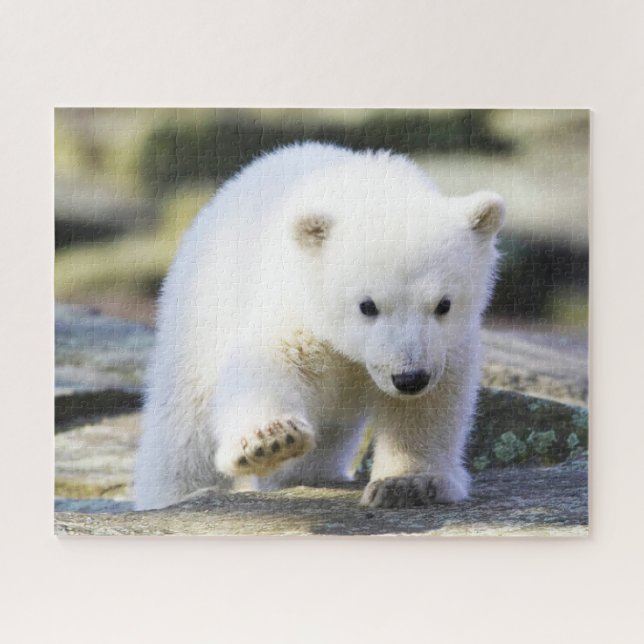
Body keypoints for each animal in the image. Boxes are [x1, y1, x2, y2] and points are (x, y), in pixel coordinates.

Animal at [133, 141, 505, 510]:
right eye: (367, 305)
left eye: (444, 304)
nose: (409, 378)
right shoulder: (296, 304)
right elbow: (268, 362)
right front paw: (270, 440)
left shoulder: (447, 345)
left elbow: (428, 406)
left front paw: (407, 483)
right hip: (199, 315)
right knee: (183, 427)